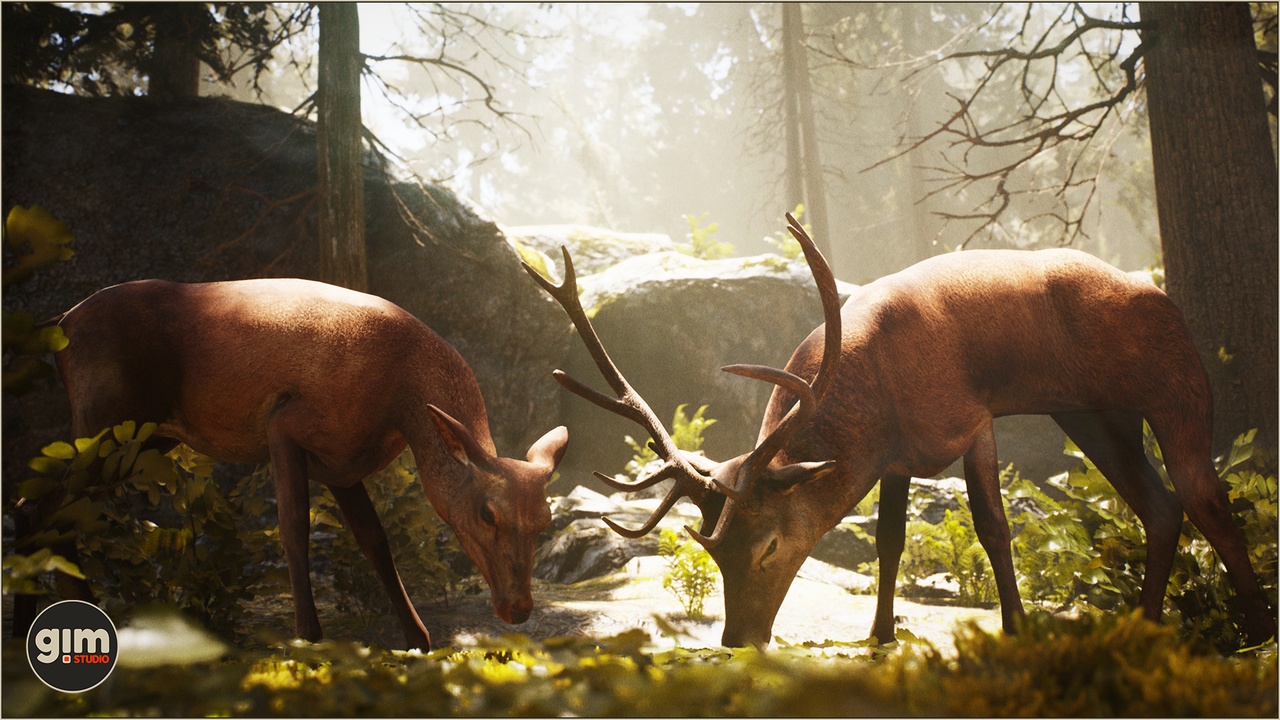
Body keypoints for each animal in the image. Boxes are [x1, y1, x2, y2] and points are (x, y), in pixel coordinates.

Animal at [16, 277, 568, 651]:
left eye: (545, 520)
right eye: (487, 513)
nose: (518, 609)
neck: (398, 405)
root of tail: (60, 325)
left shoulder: (339, 464)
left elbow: (375, 540)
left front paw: (418, 639)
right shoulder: (286, 423)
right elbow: (293, 528)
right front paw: (309, 637)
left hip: (147, 439)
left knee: (45, 506)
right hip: (106, 419)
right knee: (38, 504)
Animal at [524, 213, 1276, 649]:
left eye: (769, 546)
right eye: (712, 549)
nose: (737, 640)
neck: (873, 404)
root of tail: (1164, 298)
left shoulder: (969, 417)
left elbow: (991, 525)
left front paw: (1016, 626)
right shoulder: (893, 459)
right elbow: (887, 542)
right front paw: (880, 633)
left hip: (1176, 387)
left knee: (1208, 497)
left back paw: (1254, 631)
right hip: (1094, 414)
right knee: (1161, 505)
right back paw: (1147, 627)